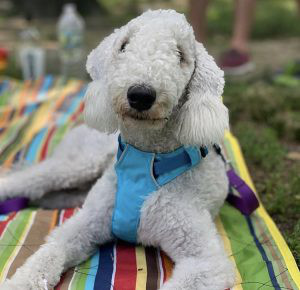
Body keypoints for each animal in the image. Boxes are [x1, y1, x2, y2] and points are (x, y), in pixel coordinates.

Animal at [0, 9, 234, 290]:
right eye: (123, 46)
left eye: (181, 55)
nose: (141, 95)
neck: (145, 158)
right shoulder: (85, 223)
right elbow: (49, 253)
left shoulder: (206, 262)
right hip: (79, 163)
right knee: (26, 180)